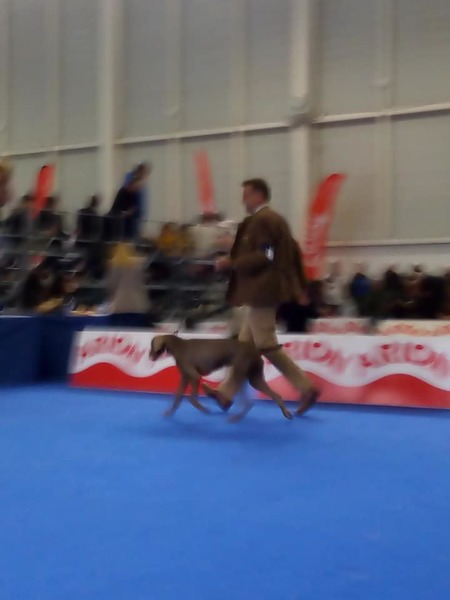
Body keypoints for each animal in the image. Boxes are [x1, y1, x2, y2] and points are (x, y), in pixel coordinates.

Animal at [149, 332, 294, 422]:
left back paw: (234, 416)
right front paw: (169, 412)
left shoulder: (195, 376)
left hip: (240, 374)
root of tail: (255, 350)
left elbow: (192, 399)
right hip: (253, 378)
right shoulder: (185, 377)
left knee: (248, 401)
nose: (149, 357)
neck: (177, 344)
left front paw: (204, 409)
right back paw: (286, 414)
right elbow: (178, 397)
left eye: (151, 345)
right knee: (272, 396)